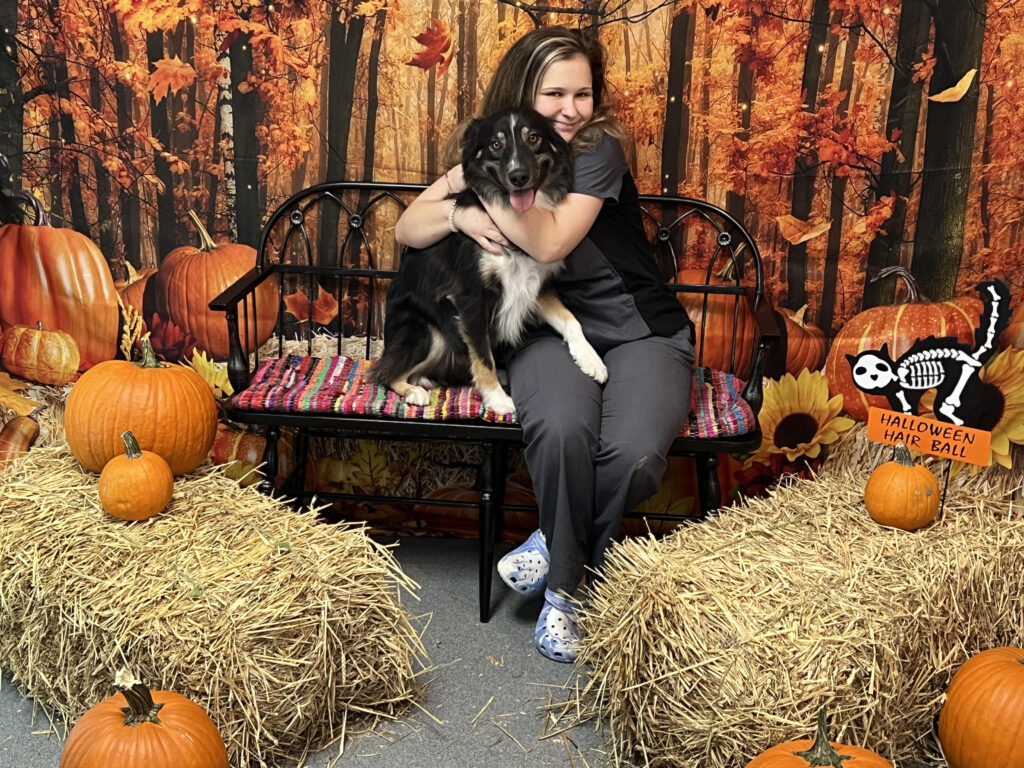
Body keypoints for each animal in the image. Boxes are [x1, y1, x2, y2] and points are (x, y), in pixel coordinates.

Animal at [370, 107, 607, 416]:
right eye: (496, 144)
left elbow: (571, 320)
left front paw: (591, 359)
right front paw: (497, 399)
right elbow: (483, 355)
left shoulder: (537, 285)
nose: (518, 176)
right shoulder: (471, 296)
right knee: (384, 372)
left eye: (533, 138)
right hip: (428, 331)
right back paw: (413, 391)